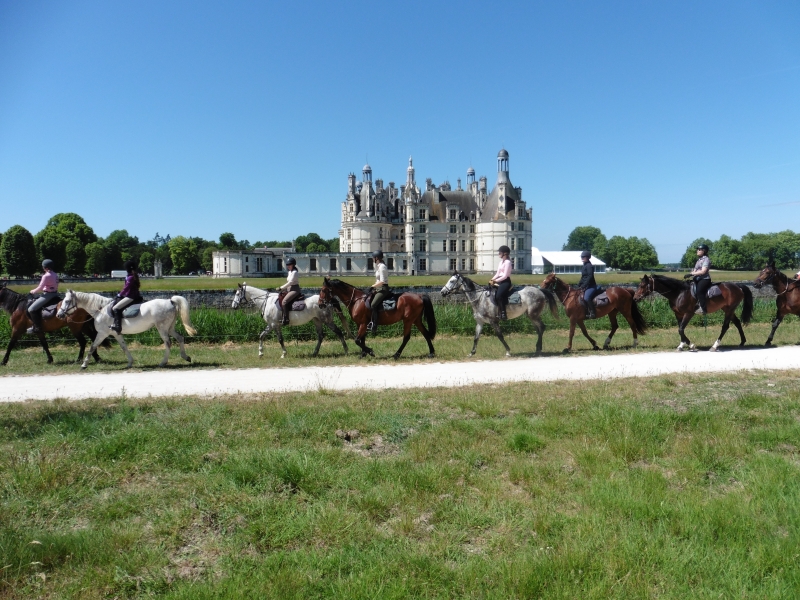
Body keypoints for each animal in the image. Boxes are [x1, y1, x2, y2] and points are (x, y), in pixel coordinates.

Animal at [56, 290, 197, 368]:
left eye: (67, 301)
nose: (59, 315)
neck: (100, 309)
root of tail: (170, 301)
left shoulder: (102, 333)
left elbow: (92, 347)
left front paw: (84, 365)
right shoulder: (116, 334)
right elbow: (124, 347)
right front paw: (130, 363)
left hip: (162, 328)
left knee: (168, 343)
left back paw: (163, 363)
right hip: (170, 328)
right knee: (180, 338)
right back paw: (186, 357)